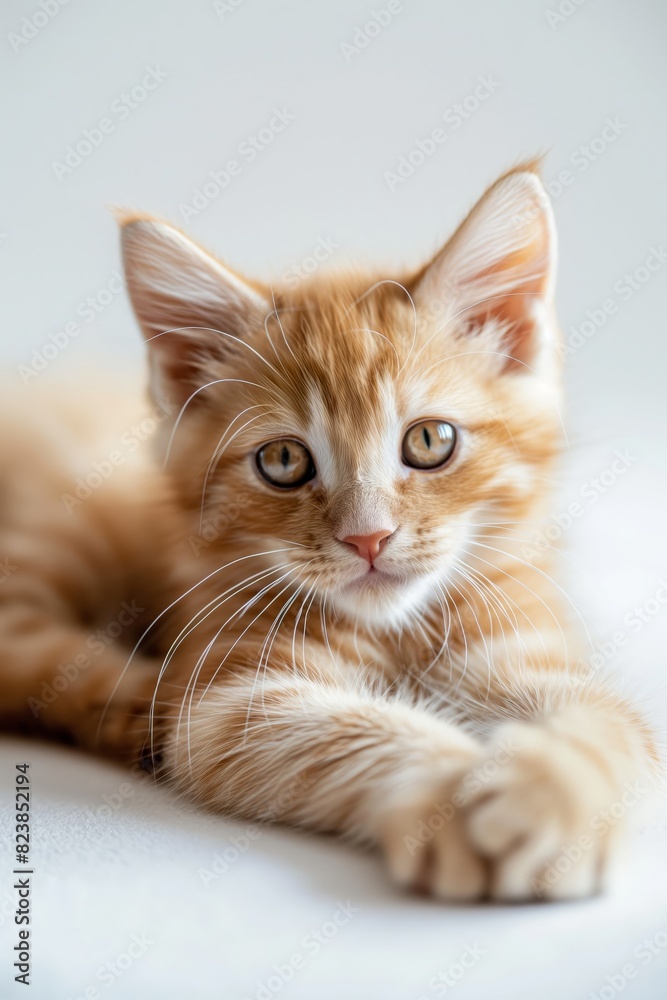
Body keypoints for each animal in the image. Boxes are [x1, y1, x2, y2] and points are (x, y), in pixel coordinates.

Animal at [0, 162, 656, 900]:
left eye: (429, 441)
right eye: (284, 461)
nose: (367, 538)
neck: (399, 630)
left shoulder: (530, 648)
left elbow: (610, 724)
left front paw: (546, 795)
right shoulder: (231, 704)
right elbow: (351, 727)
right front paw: (445, 795)